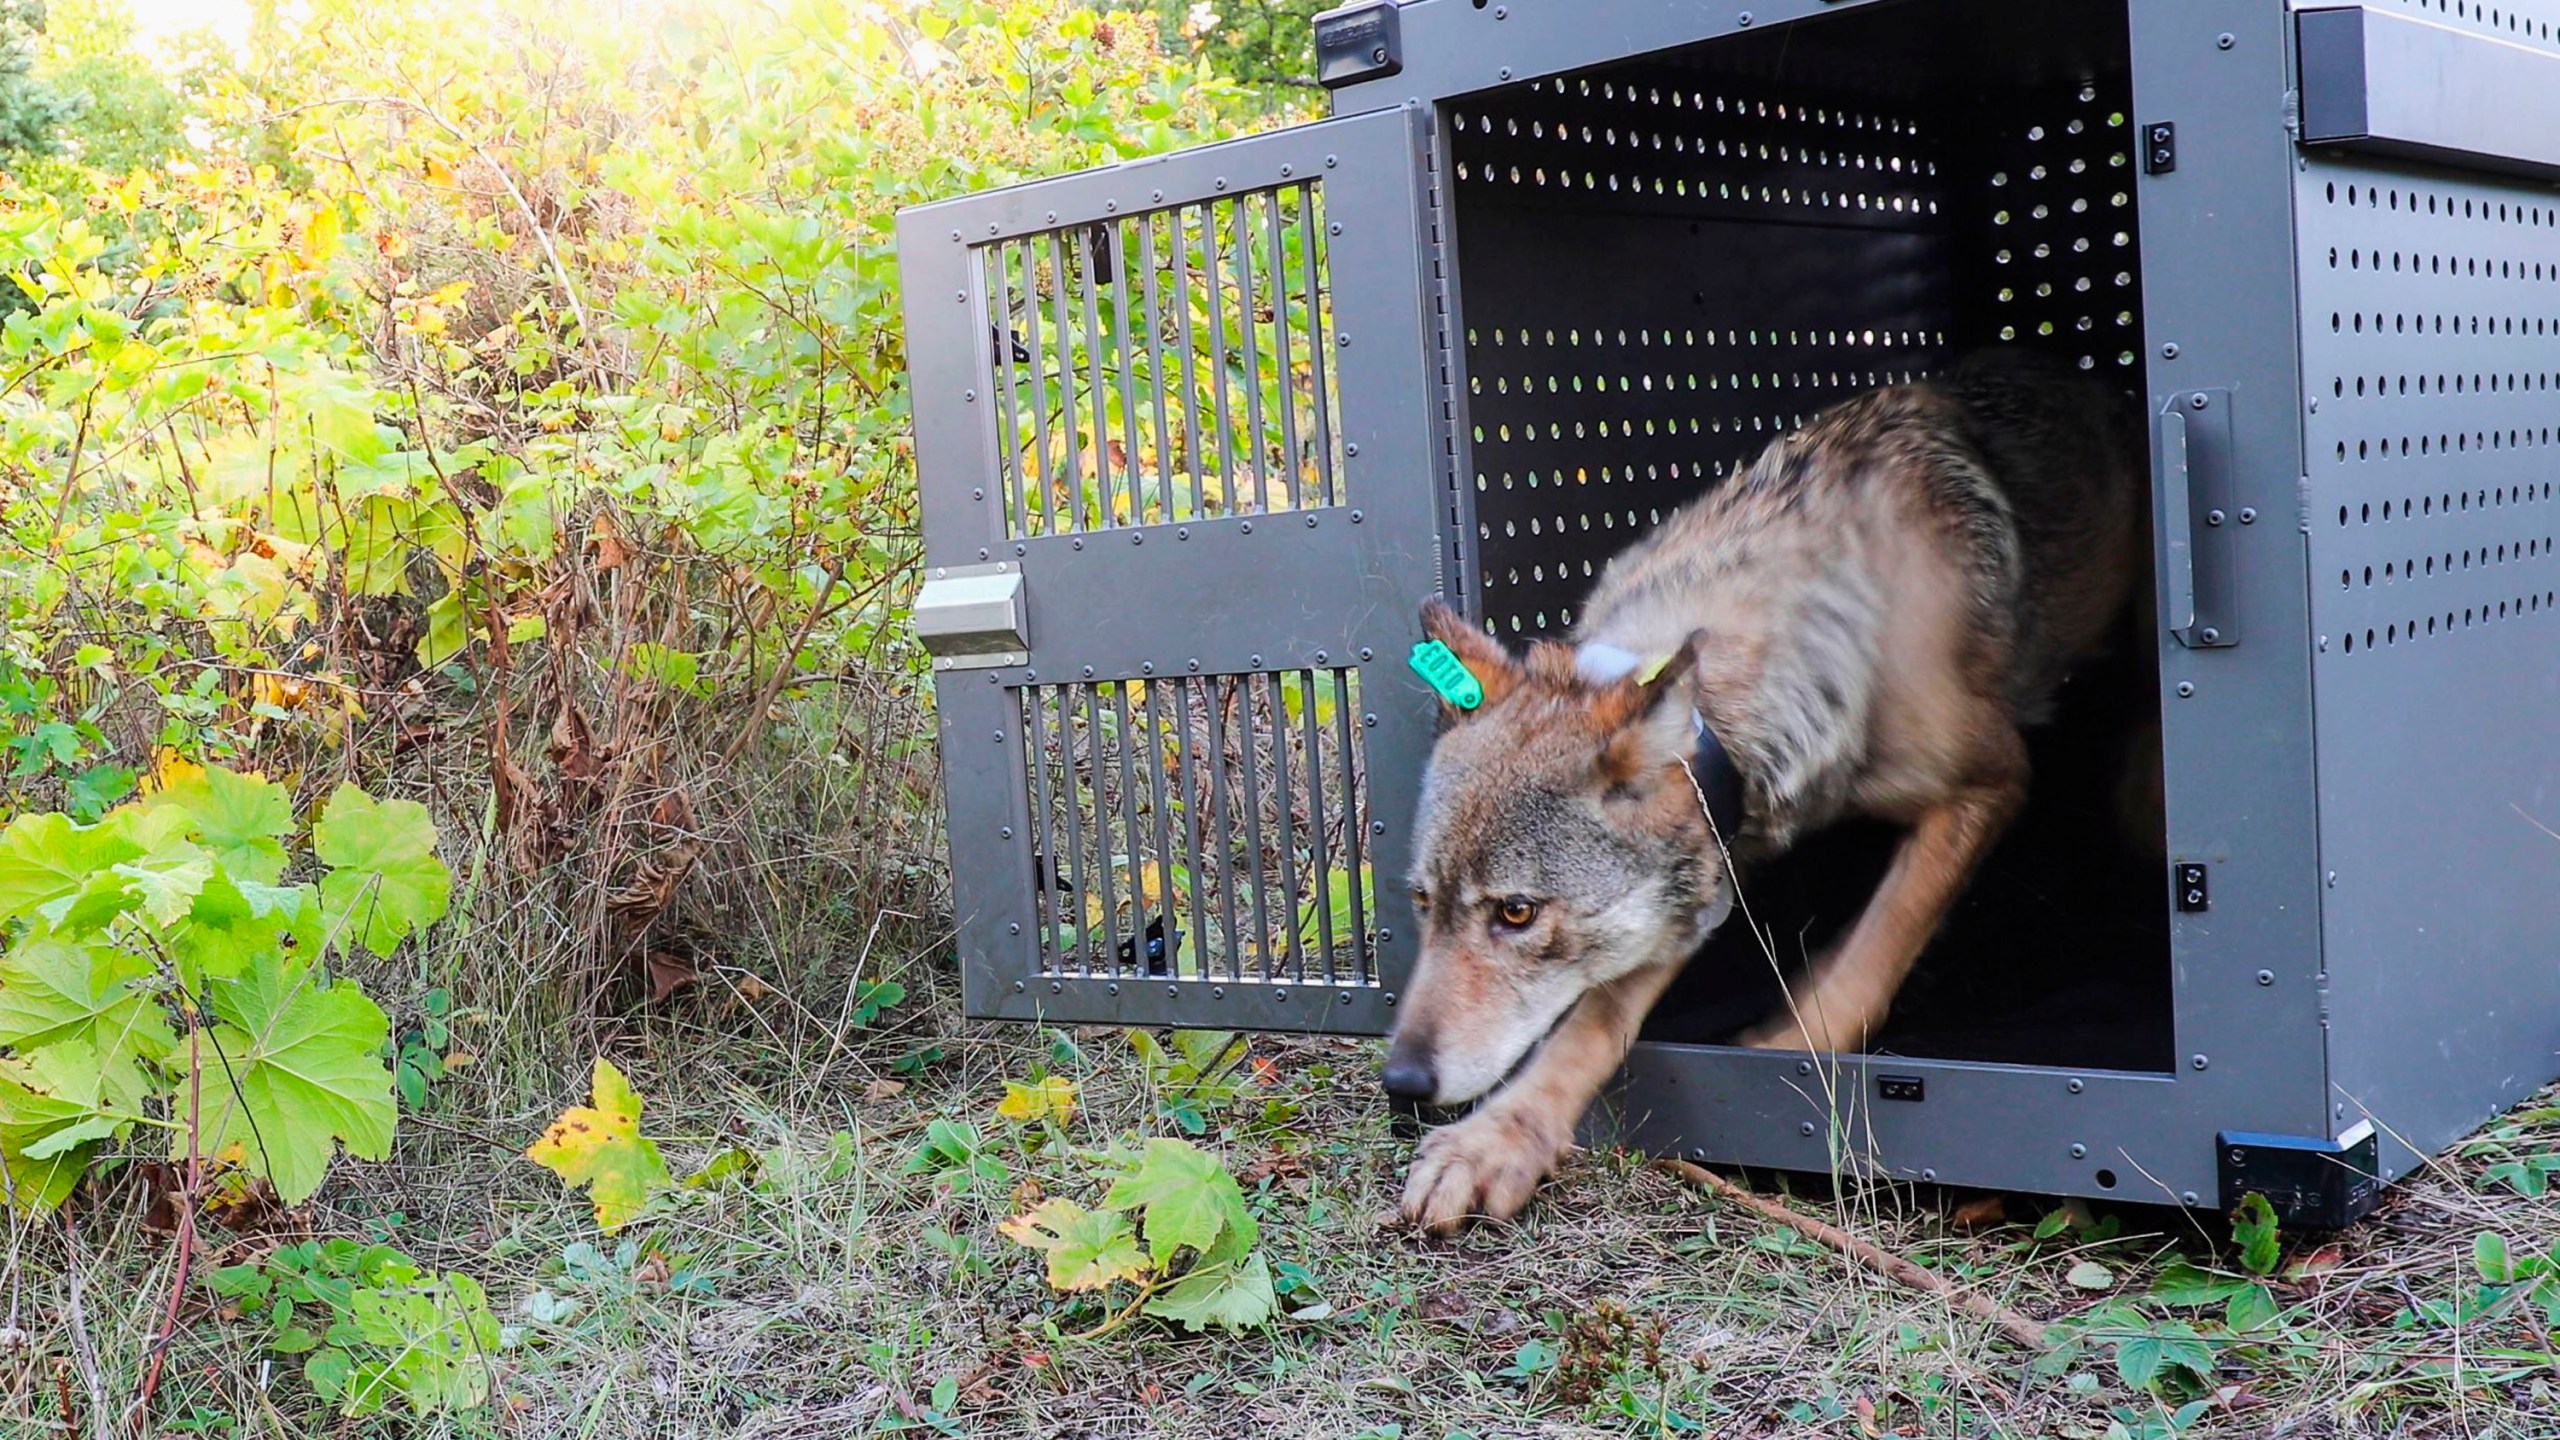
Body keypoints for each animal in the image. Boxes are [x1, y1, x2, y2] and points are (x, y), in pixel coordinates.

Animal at [1382, 345, 2140, 1219]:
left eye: (1515, 913)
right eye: (1423, 903)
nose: (1400, 1080)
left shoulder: (1992, 779)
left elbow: (1878, 943)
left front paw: (1790, 1045)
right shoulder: (1707, 864)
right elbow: (1592, 1023)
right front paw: (1494, 1142)